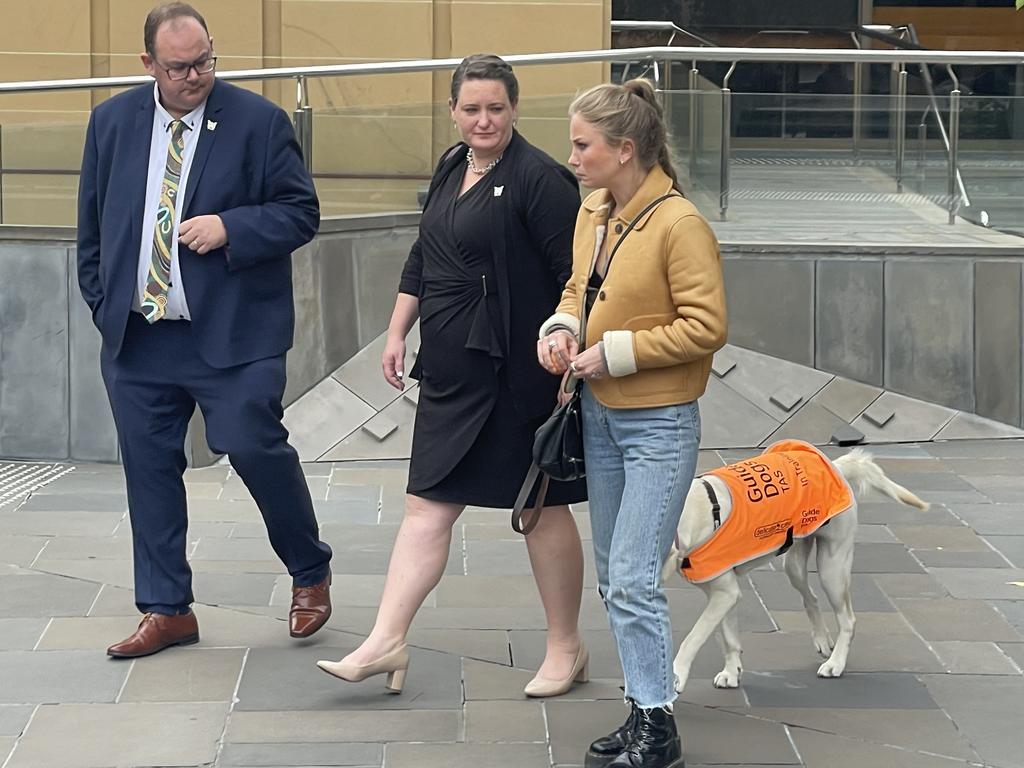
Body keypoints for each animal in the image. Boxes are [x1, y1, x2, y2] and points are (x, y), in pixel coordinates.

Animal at [659, 438, 933, 696]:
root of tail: (836, 467)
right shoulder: (724, 591)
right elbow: (728, 637)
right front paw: (731, 672)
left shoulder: (724, 593)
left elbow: (694, 636)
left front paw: (677, 675)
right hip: (794, 565)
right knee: (811, 597)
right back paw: (822, 640)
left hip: (832, 567)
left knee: (847, 619)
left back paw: (835, 664)